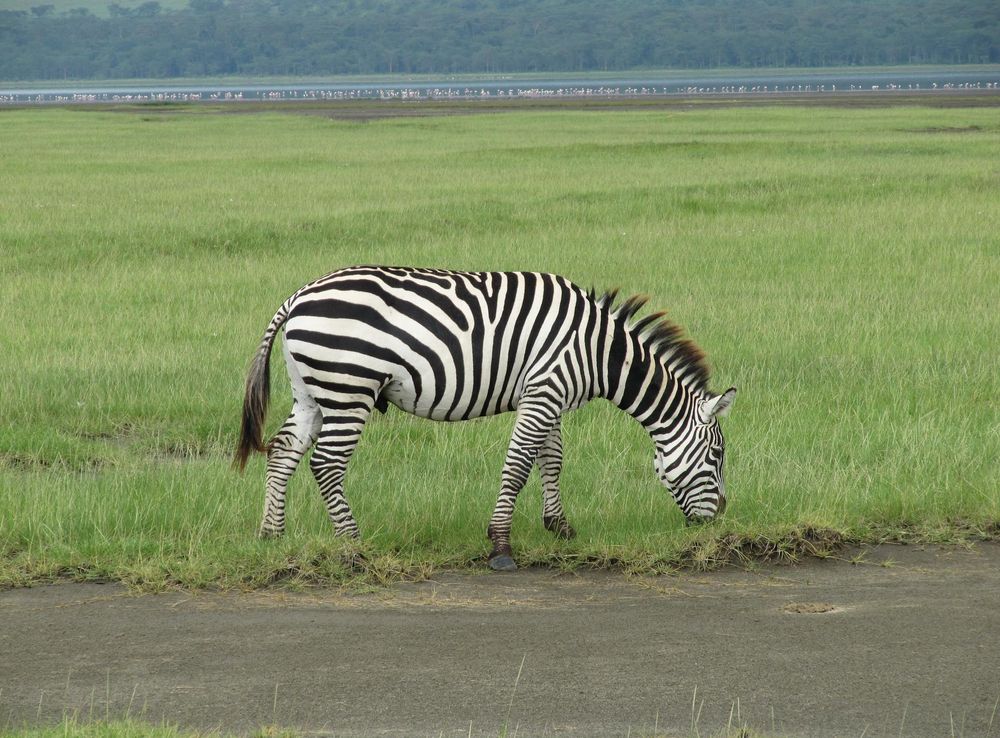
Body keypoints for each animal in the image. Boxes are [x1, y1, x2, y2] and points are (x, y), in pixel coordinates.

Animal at [235, 265, 736, 571]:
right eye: (717, 455)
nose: (719, 517)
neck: (599, 353)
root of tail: (298, 296)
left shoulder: (546, 393)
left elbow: (551, 460)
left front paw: (560, 527)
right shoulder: (545, 390)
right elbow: (518, 465)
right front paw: (500, 545)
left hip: (313, 392)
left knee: (283, 452)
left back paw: (271, 535)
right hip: (348, 388)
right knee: (326, 464)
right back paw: (352, 545)